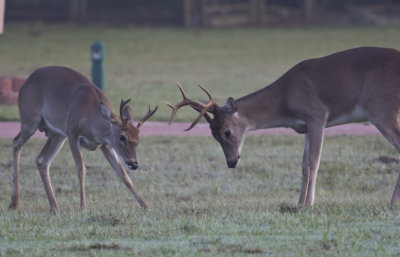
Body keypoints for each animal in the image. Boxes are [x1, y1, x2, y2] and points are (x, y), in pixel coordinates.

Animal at [9, 65, 156, 210]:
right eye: (122, 137)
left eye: (138, 139)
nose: (133, 163)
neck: (91, 119)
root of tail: (26, 82)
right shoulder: (72, 134)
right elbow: (81, 169)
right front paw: (83, 206)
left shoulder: (105, 144)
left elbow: (123, 174)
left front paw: (145, 205)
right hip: (29, 120)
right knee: (16, 142)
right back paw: (14, 202)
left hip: (57, 135)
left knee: (42, 160)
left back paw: (54, 207)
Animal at [167, 46, 400, 206]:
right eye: (213, 135)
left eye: (227, 131)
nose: (231, 162)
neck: (286, 97)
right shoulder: (305, 127)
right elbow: (304, 165)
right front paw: (298, 204)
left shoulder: (317, 116)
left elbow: (314, 162)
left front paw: (309, 204)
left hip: (381, 110)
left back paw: (392, 203)